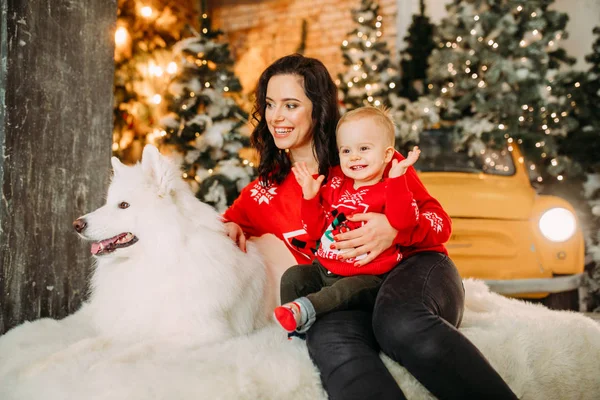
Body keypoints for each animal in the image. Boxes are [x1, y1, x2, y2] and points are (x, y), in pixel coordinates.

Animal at [74, 145, 266, 346]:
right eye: (107, 203)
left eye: (124, 205)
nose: (76, 225)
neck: (165, 255)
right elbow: (87, 345)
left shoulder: (203, 332)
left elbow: (139, 348)